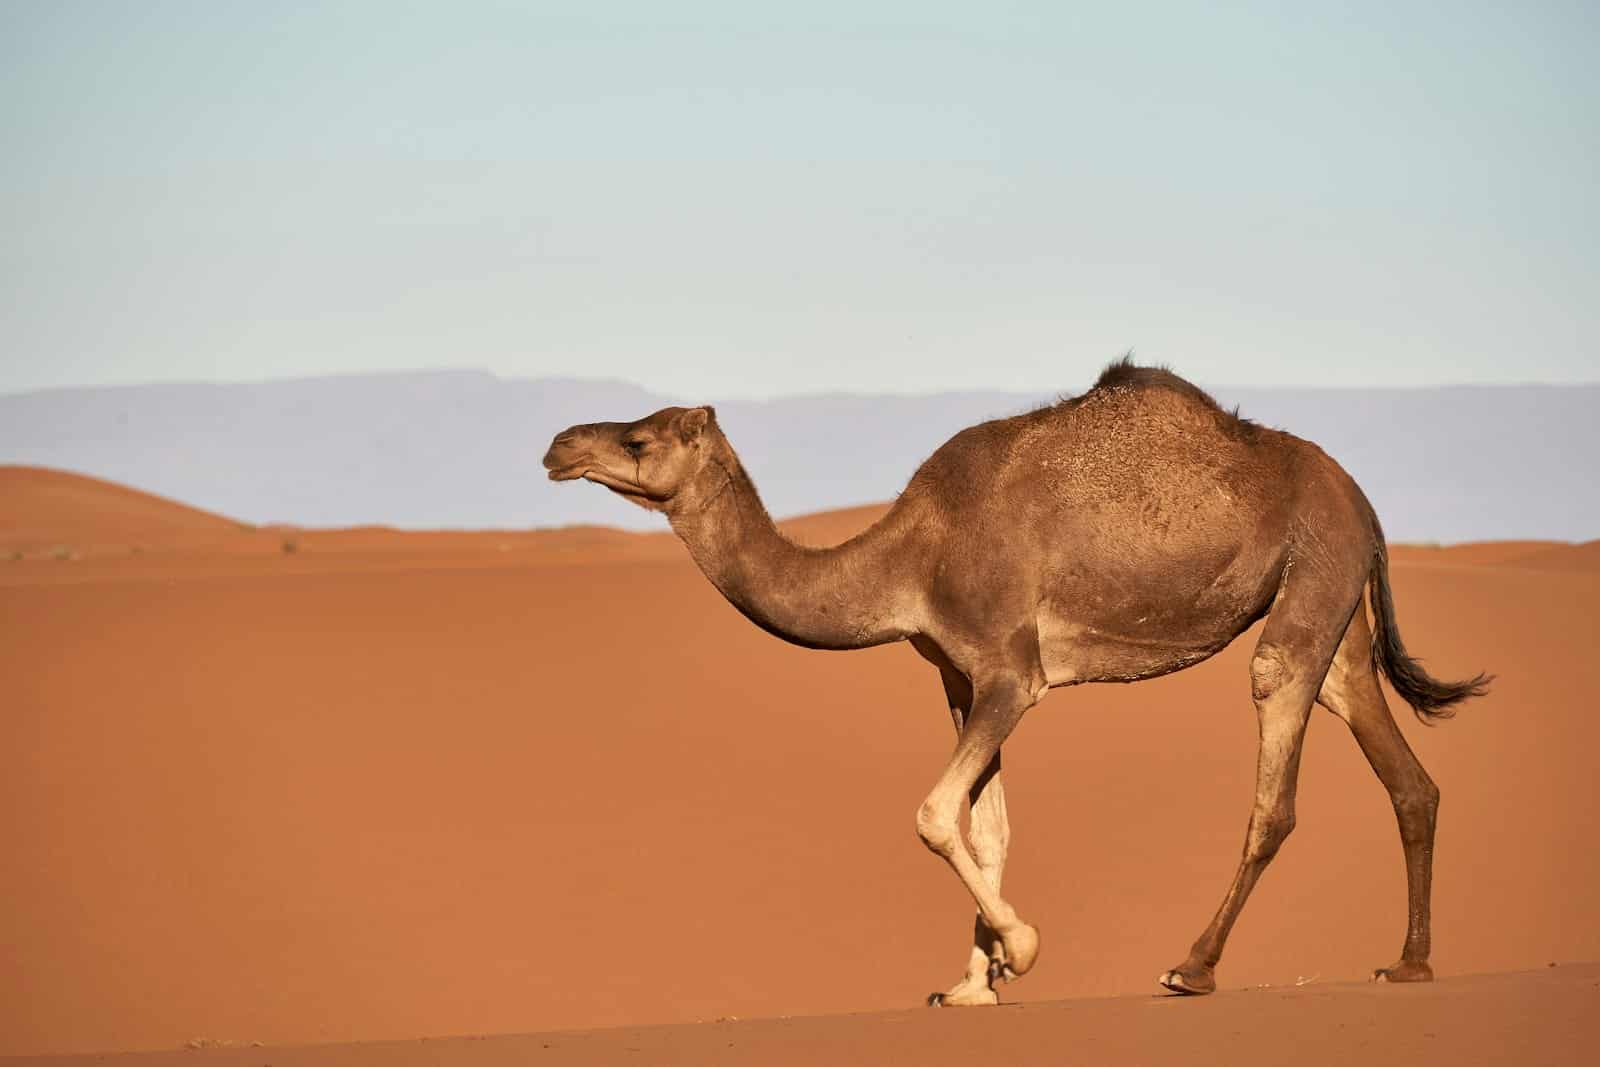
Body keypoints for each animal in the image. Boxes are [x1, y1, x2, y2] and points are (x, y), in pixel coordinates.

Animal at [542, 359, 1489, 1006]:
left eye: (639, 439)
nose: (557, 444)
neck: (911, 556)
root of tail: (1364, 504)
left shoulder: (1011, 671)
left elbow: (933, 812)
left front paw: (1021, 948)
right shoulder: (959, 678)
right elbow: (986, 824)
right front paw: (973, 981)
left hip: (1311, 575)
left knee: (1275, 772)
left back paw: (1191, 965)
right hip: (1334, 605)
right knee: (1401, 767)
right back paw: (1409, 961)